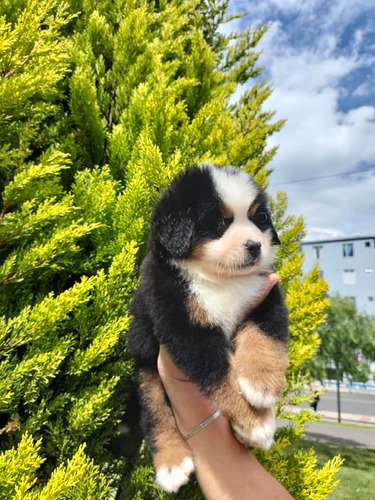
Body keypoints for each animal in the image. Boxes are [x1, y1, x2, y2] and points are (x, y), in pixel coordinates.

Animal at [128, 163, 290, 492]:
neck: (220, 280)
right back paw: (172, 463)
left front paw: (261, 384)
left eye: (259, 219)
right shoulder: (184, 326)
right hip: (146, 364)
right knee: (155, 412)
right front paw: (255, 422)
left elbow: (263, 335)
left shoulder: (265, 295)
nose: (255, 246)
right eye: (218, 223)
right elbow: (221, 378)